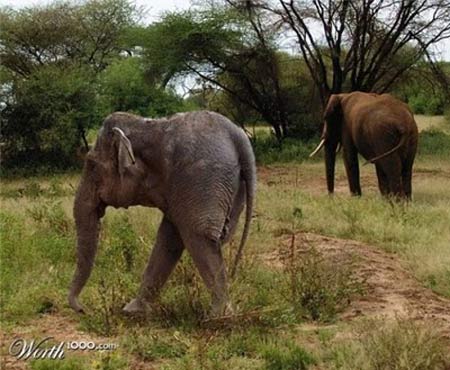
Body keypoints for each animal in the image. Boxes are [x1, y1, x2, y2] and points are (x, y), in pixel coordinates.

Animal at [68, 110, 255, 316]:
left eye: (92, 165)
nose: (83, 310)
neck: (144, 126)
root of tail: (238, 136)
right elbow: (169, 237)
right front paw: (132, 311)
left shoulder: (190, 184)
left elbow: (179, 235)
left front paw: (129, 311)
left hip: (207, 175)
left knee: (201, 237)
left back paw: (218, 316)